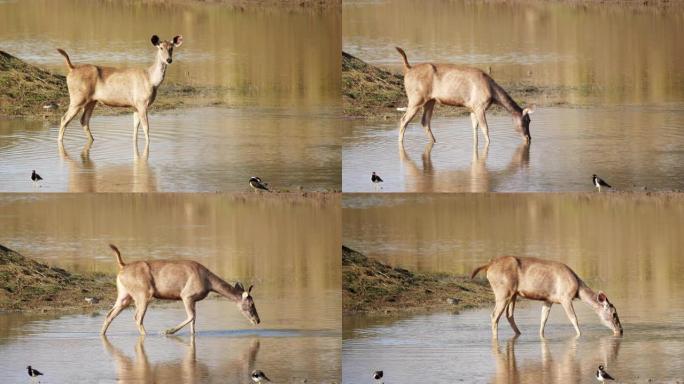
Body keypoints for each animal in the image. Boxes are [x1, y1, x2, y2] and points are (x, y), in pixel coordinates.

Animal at [101, 246, 260, 336]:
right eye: (251, 304)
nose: (257, 320)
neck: (208, 282)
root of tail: (122, 266)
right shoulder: (186, 296)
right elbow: (191, 317)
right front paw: (167, 331)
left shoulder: (193, 300)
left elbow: (193, 322)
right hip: (143, 294)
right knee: (137, 317)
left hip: (124, 295)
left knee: (110, 314)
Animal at [396, 45, 536, 147]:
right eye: (527, 120)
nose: (529, 138)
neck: (493, 95)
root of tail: (408, 69)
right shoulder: (479, 106)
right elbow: (485, 129)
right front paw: (489, 145)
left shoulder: (472, 108)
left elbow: (475, 130)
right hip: (416, 98)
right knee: (403, 119)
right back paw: (400, 143)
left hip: (430, 100)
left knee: (425, 121)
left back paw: (434, 141)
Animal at [472, 256, 624, 338]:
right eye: (614, 313)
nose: (620, 331)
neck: (577, 290)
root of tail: (488, 266)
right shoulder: (565, 297)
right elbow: (574, 318)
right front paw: (579, 335)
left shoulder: (548, 300)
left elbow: (543, 320)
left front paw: (541, 336)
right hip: (502, 291)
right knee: (494, 315)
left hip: (513, 294)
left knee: (509, 315)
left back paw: (519, 333)